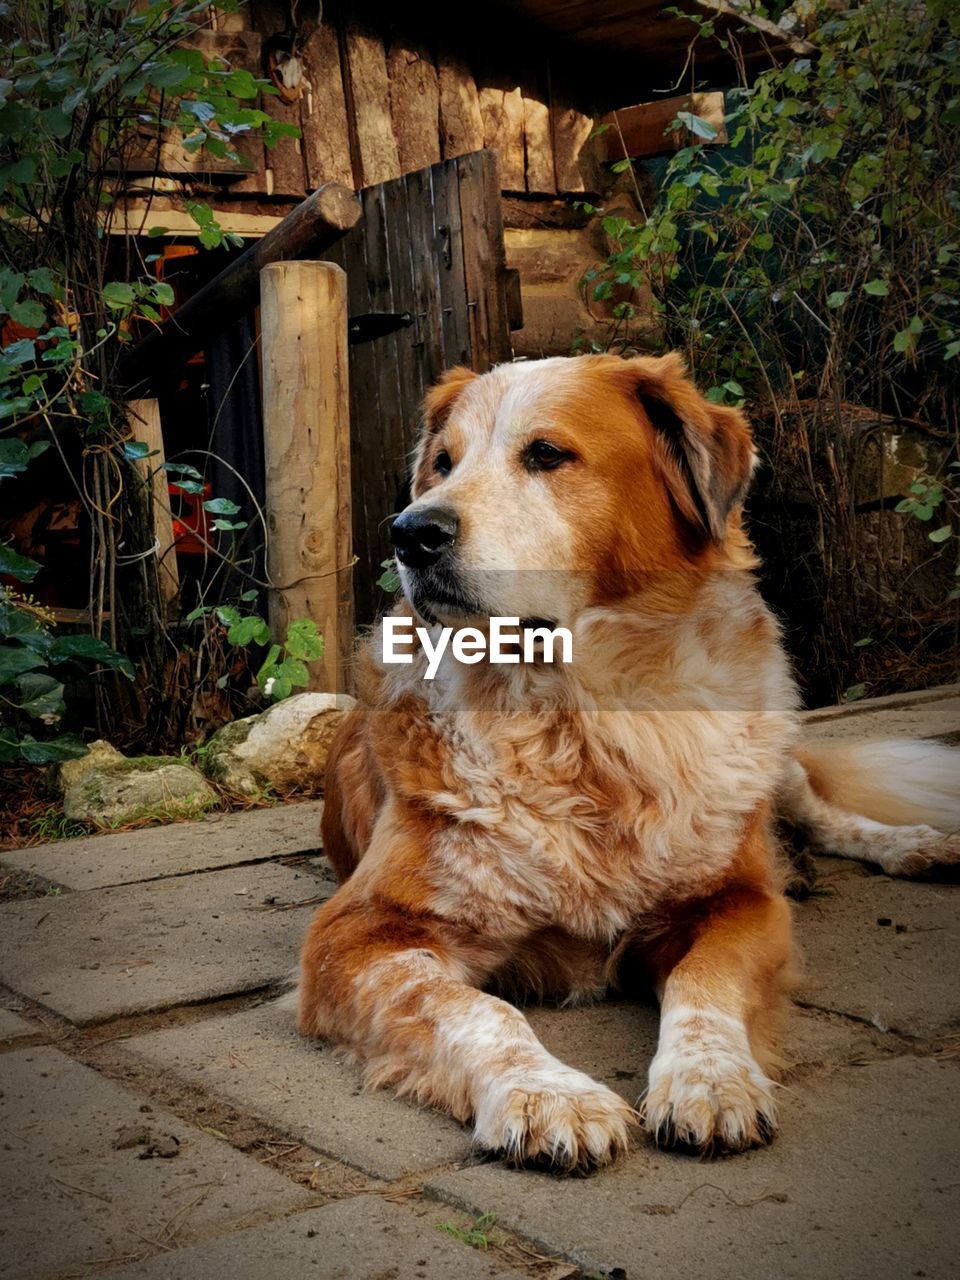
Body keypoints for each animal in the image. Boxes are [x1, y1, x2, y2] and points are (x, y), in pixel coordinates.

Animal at [295, 353, 960, 1172]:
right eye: (442, 465)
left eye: (547, 454)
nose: (411, 532)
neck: (585, 727)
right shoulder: (357, 934)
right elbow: (478, 1010)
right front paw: (548, 1094)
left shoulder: (738, 904)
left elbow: (703, 982)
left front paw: (710, 1080)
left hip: (770, 760)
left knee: (820, 811)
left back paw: (909, 846)